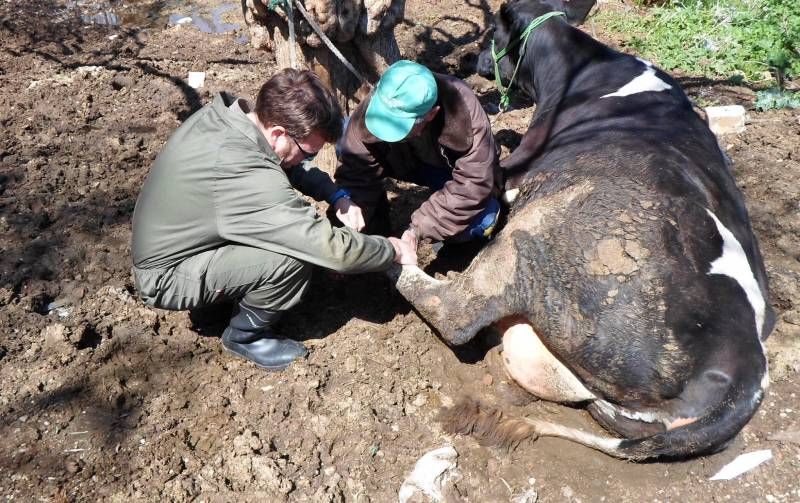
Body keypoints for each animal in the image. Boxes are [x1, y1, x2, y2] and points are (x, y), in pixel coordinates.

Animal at [390, 0, 776, 460]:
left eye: (490, 34)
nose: (466, 59)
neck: (582, 69)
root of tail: (747, 375)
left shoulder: (514, 170)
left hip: (541, 226)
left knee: (454, 311)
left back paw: (398, 257)